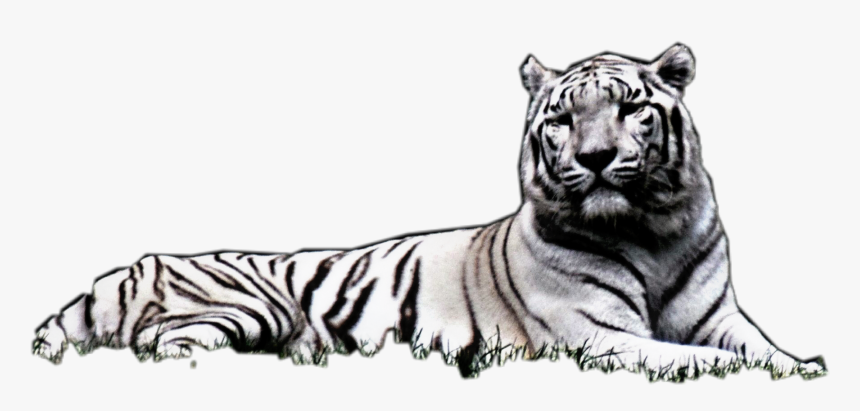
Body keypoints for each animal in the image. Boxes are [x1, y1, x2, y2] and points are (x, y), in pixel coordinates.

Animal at [32, 44, 826, 381]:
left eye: (631, 109)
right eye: (562, 120)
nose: (598, 157)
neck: (649, 233)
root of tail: (130, 266)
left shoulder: (720, 314)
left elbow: (757, 347)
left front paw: (805, 365)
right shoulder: (597, 336)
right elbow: (695, 358)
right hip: (246, 308)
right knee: (160, 348)